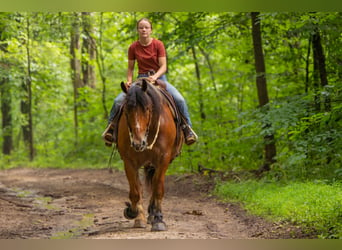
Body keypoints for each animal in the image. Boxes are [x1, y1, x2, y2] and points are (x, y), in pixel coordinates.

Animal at [116, 78, 183, 232]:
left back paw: (152, 215)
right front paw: (133, 213)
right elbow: (136, 191)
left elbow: (158, 188)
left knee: (154, 185)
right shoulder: (129, 161)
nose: (137, 142)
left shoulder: (163, 159)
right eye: (126, 110)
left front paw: (158, 220)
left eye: (147, 108)